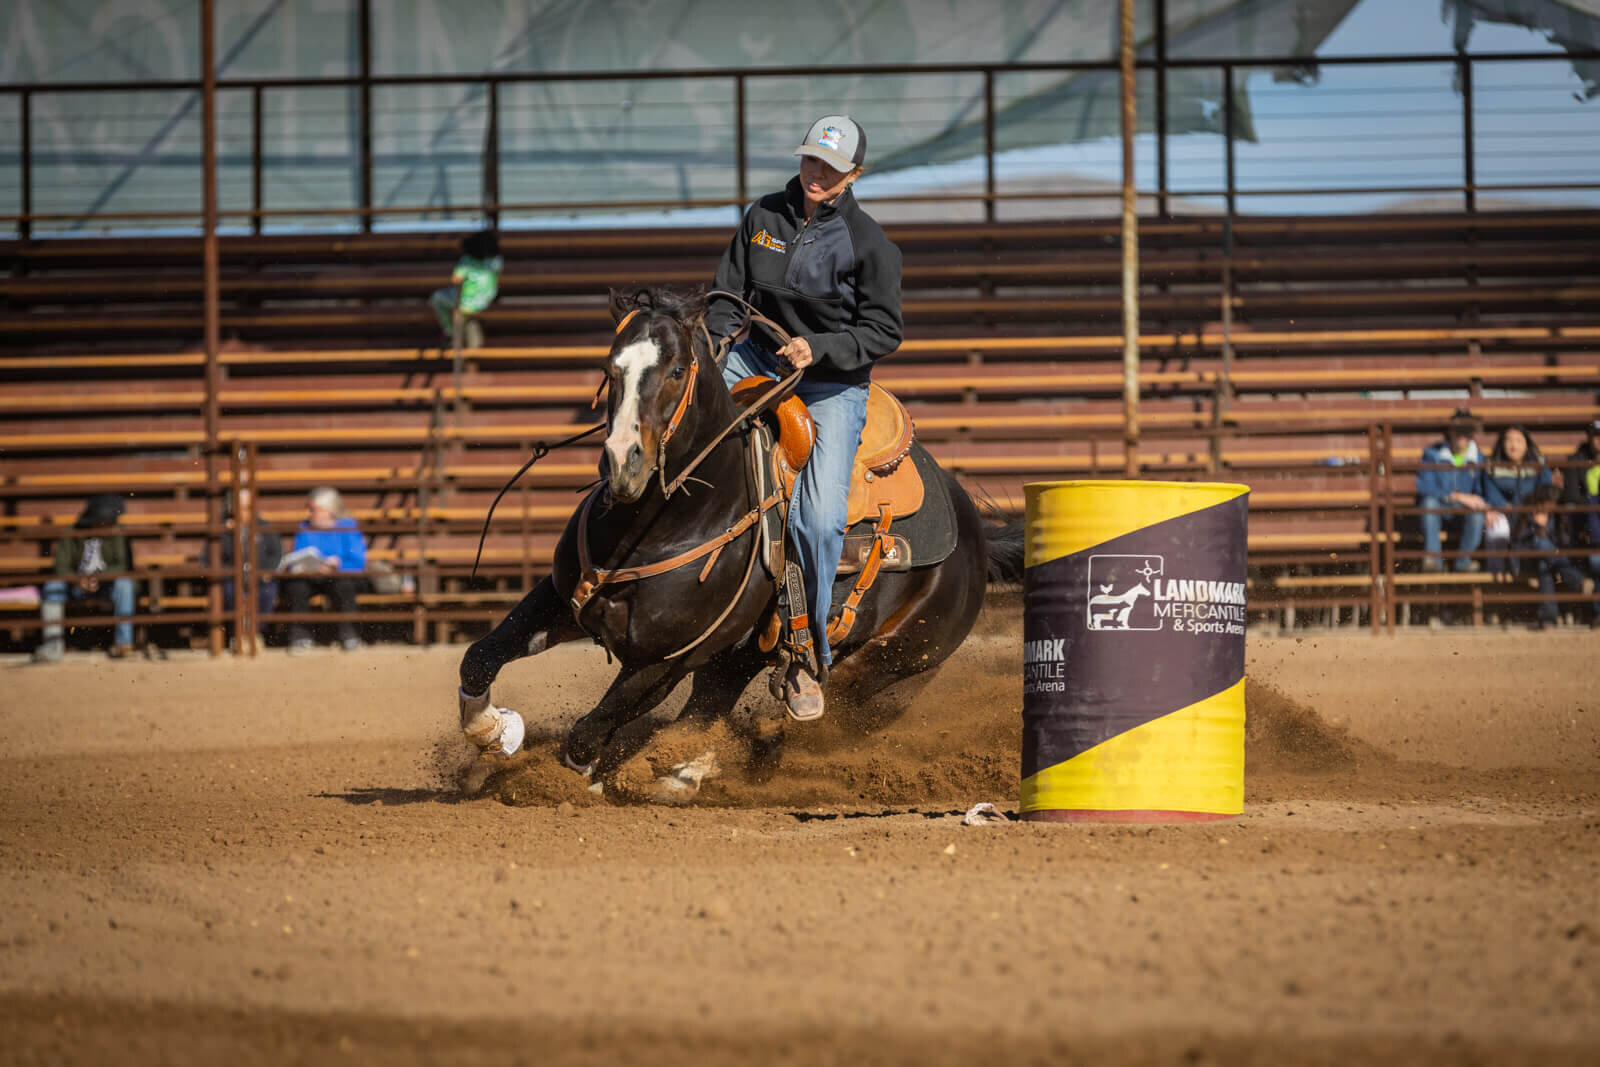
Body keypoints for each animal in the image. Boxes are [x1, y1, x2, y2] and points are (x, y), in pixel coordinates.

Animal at [457, 287, 1017, 796]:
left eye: (677, 371)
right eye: (611, 369)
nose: (623, 463)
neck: (666, 522)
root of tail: (973, 534)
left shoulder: (665, 657)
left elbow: (589, 732)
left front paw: (569, 777)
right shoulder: (562, 599)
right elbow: (480, 657)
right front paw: (495, 733)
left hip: (895, 658)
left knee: (790, 719)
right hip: (741, 656)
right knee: (712, 705)